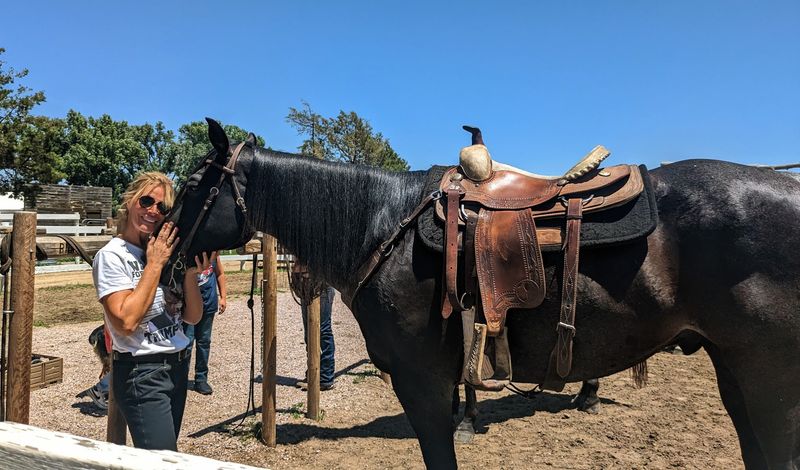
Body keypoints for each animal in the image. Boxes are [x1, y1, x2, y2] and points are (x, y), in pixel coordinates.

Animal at [164, 119, 800, 469]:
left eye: (193, 185)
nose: (166, 264)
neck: (382, 225)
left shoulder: (421, 380)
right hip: (735, 373)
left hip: (770, 382)